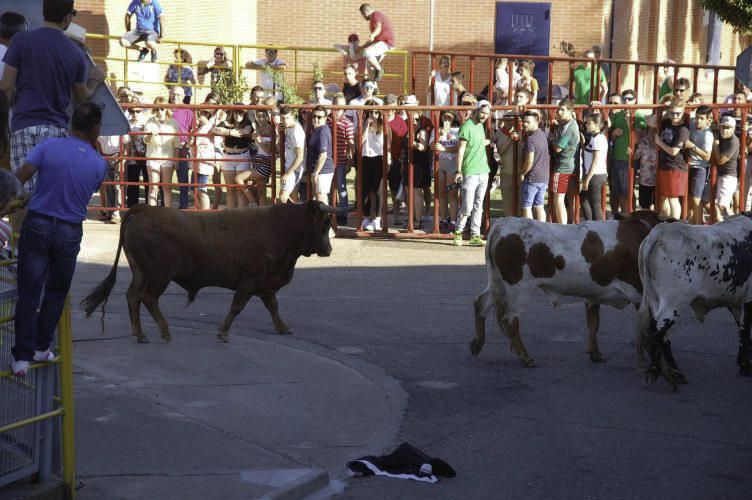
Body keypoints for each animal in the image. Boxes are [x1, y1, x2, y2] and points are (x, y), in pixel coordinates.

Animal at [81, 201, 334, 342]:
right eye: (324, 224)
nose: (329, 249)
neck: (281, 227)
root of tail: (145, 210)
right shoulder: (250, 281)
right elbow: (238, 306)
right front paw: (223, 332)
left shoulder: (265, 283)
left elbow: (273, 306)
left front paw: (283, 327)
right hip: (159, 276)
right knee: (148, 298)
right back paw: (164, 331)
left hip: (140, 272)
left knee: (133, 297)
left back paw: (140, 334)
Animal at [472, 209, 660, 366]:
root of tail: (503, 224)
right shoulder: (640, 294)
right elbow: (647, 327)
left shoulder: (593, 296)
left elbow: (593, 323)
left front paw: (595, 353)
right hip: (517, 289)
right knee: (511, 320)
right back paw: (525, 357)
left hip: (496, 283)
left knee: (481, 303)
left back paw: (477, 344)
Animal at [636, 213, 752, 388]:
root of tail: (662, 230)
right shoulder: (749, 298)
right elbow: (746, 332)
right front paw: (746, 367)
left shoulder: (737, 301)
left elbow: (741, 330)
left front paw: (743, 364)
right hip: (673, 303)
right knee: (657, 331)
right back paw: (657, 372)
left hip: (655, 300)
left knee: (662, 335)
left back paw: (676, 373)